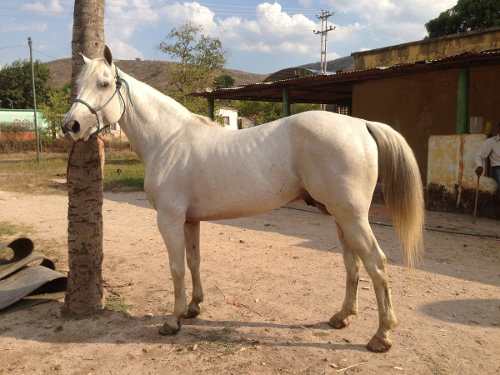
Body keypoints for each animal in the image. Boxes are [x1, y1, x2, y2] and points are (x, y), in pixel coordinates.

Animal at [61, 47, 422, 352]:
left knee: (376, 263)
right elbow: (194, 261)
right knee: (353, 263)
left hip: (351, 216)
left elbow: (176, 267)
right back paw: (342, 317)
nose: (71, 126)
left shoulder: (169, 219)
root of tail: (361, 124)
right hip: (340, 216)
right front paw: (193, 307)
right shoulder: (190, 220)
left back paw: (382, 336)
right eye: (77, 83)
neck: (168, 140)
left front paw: (173, 321)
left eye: (104, 84)